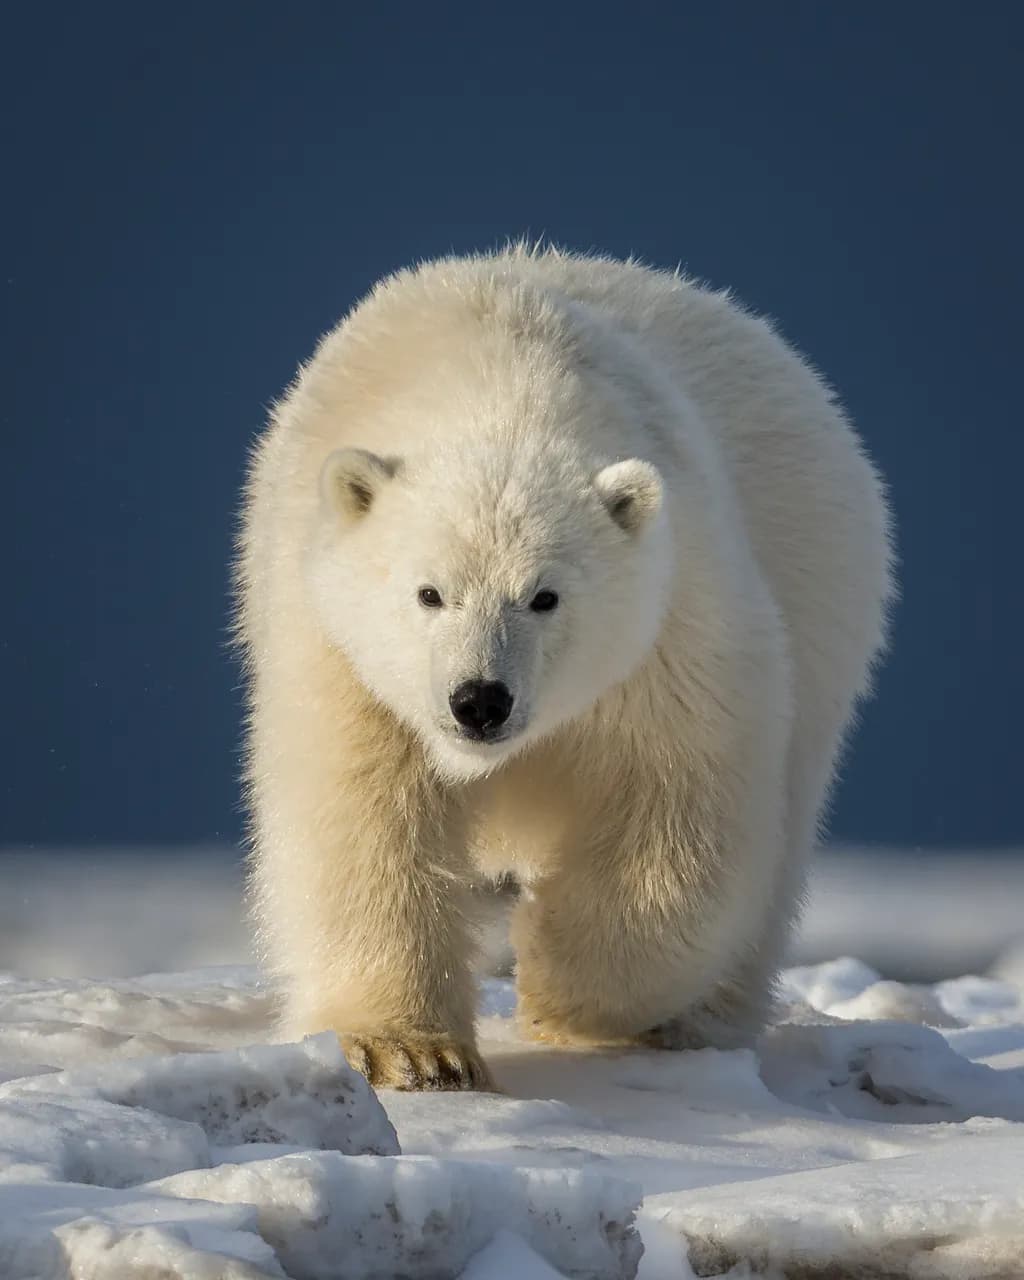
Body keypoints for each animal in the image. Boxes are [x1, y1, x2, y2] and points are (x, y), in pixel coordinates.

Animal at [235, 245, 893, 1091]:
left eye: (544, 596)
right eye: (429, 592)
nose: (480, 701)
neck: (499, 385)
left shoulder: (673, 624)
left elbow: (675, 811)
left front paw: (556, 987)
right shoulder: (335, 644)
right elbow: (360, 815)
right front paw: (409, 1052)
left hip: (822, 598)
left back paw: (694, 1019)